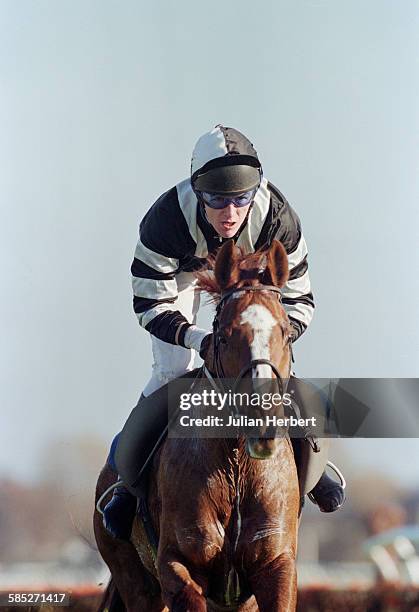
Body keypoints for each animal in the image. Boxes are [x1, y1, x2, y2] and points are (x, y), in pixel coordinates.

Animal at [93, 240, 300, 612]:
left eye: (287, 334)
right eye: (225, 336)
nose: (261, 424)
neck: (235, 468)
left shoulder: (277, 566)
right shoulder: (179, 568)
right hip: (135, 579)